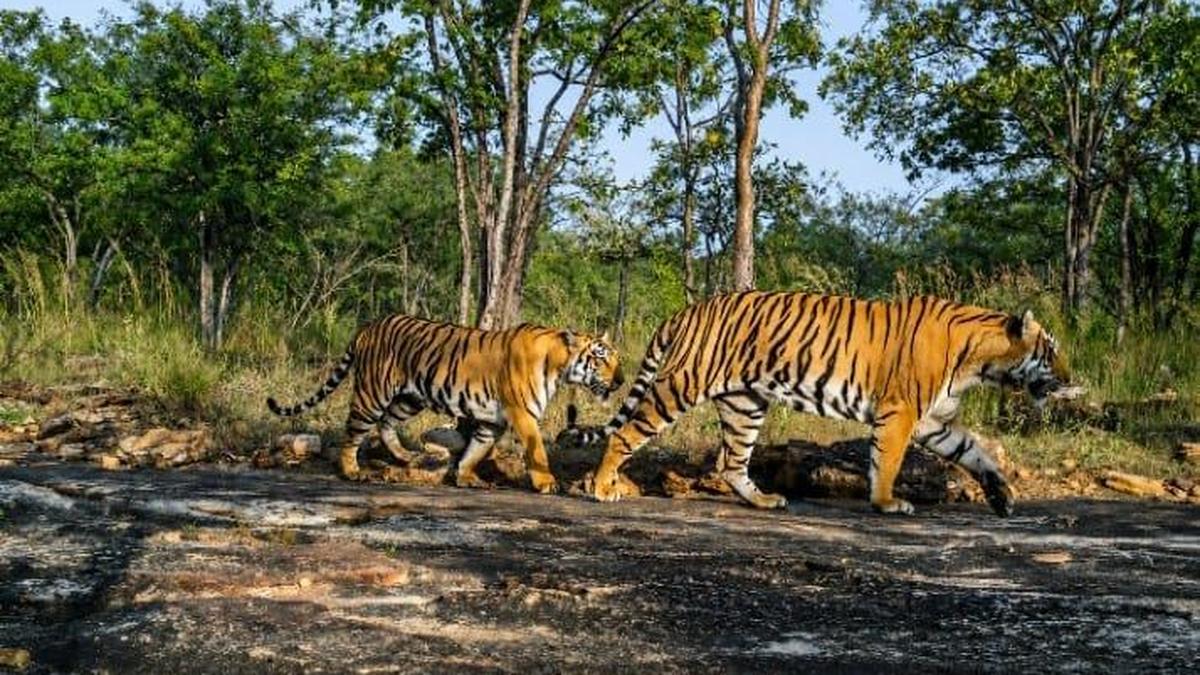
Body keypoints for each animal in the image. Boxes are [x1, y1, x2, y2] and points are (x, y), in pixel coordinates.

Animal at [267, 315, 623, 493]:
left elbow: (476, 449)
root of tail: (367, 327)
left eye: (616, 358)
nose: (620, 381)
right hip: (373, 393)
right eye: (601, 358)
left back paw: (405, 456)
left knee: (386, 424)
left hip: (409, 398)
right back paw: (352, 470)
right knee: (354, 432)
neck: (559, 365)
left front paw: (466, 477)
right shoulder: (523, 414)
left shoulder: (491, 420)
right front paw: (547, 483)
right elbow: (537, 450)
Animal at [561, 292, 1070, 517]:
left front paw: (1002, 495)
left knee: (730, 463)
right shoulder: (901, 412)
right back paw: (603, 487)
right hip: (680, 387)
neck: (981, 363)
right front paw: (887, 503)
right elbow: (886, 461)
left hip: (744, 404)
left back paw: (764, 500)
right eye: (1050, 351)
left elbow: (976, 452)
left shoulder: (933, 422)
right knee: (625, 434)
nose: (1069, 380)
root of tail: (689, 309)